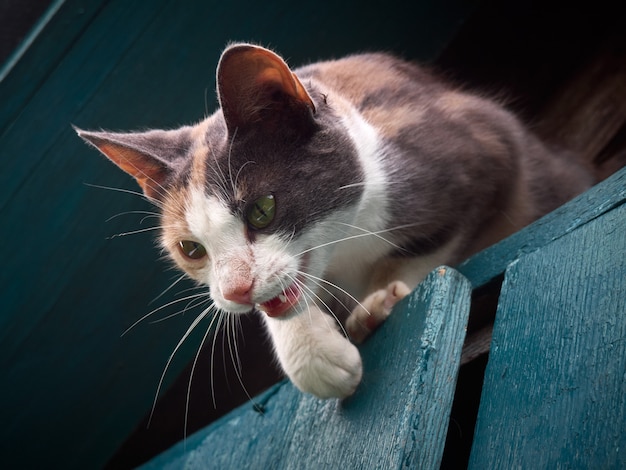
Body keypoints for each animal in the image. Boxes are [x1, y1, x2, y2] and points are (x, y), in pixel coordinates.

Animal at [74, 42, 588, 398]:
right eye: (191, 249)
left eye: (262, 209)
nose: (236, 290)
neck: (345, 248)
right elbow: (282, 302)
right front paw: (317, 357)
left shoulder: (478, 145)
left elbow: (434, 246)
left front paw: (380, 299)